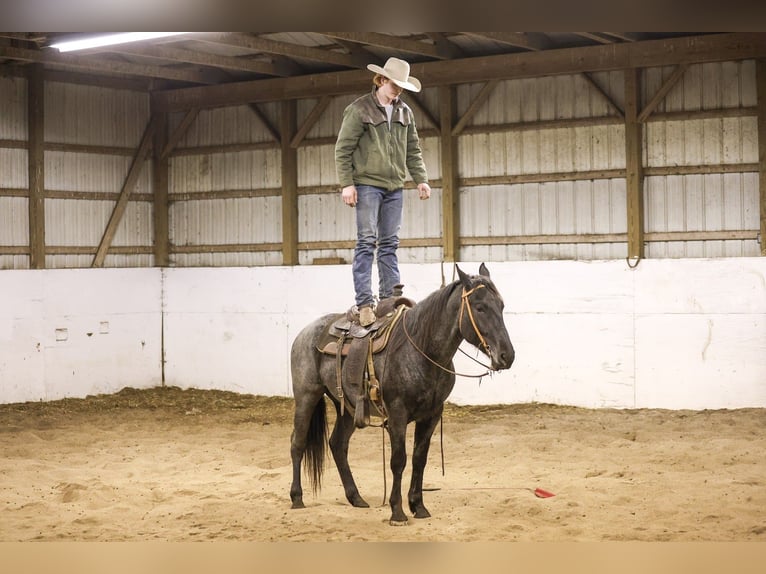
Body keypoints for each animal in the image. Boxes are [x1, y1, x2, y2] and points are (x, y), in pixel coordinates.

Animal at [288, 263, 515, 525]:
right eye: (480, 307)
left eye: (501, 306)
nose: (507, 356)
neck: (422, 348)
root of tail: (305, 333)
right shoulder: (397, 413)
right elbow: (399, 460)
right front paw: (397, 511)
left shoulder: (431, 414)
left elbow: (419, 459)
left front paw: (419, 506)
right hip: (307, 396)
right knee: (298, 443)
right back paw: (297, 497)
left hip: (348, 407)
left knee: (337, 444)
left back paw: (356, 498)